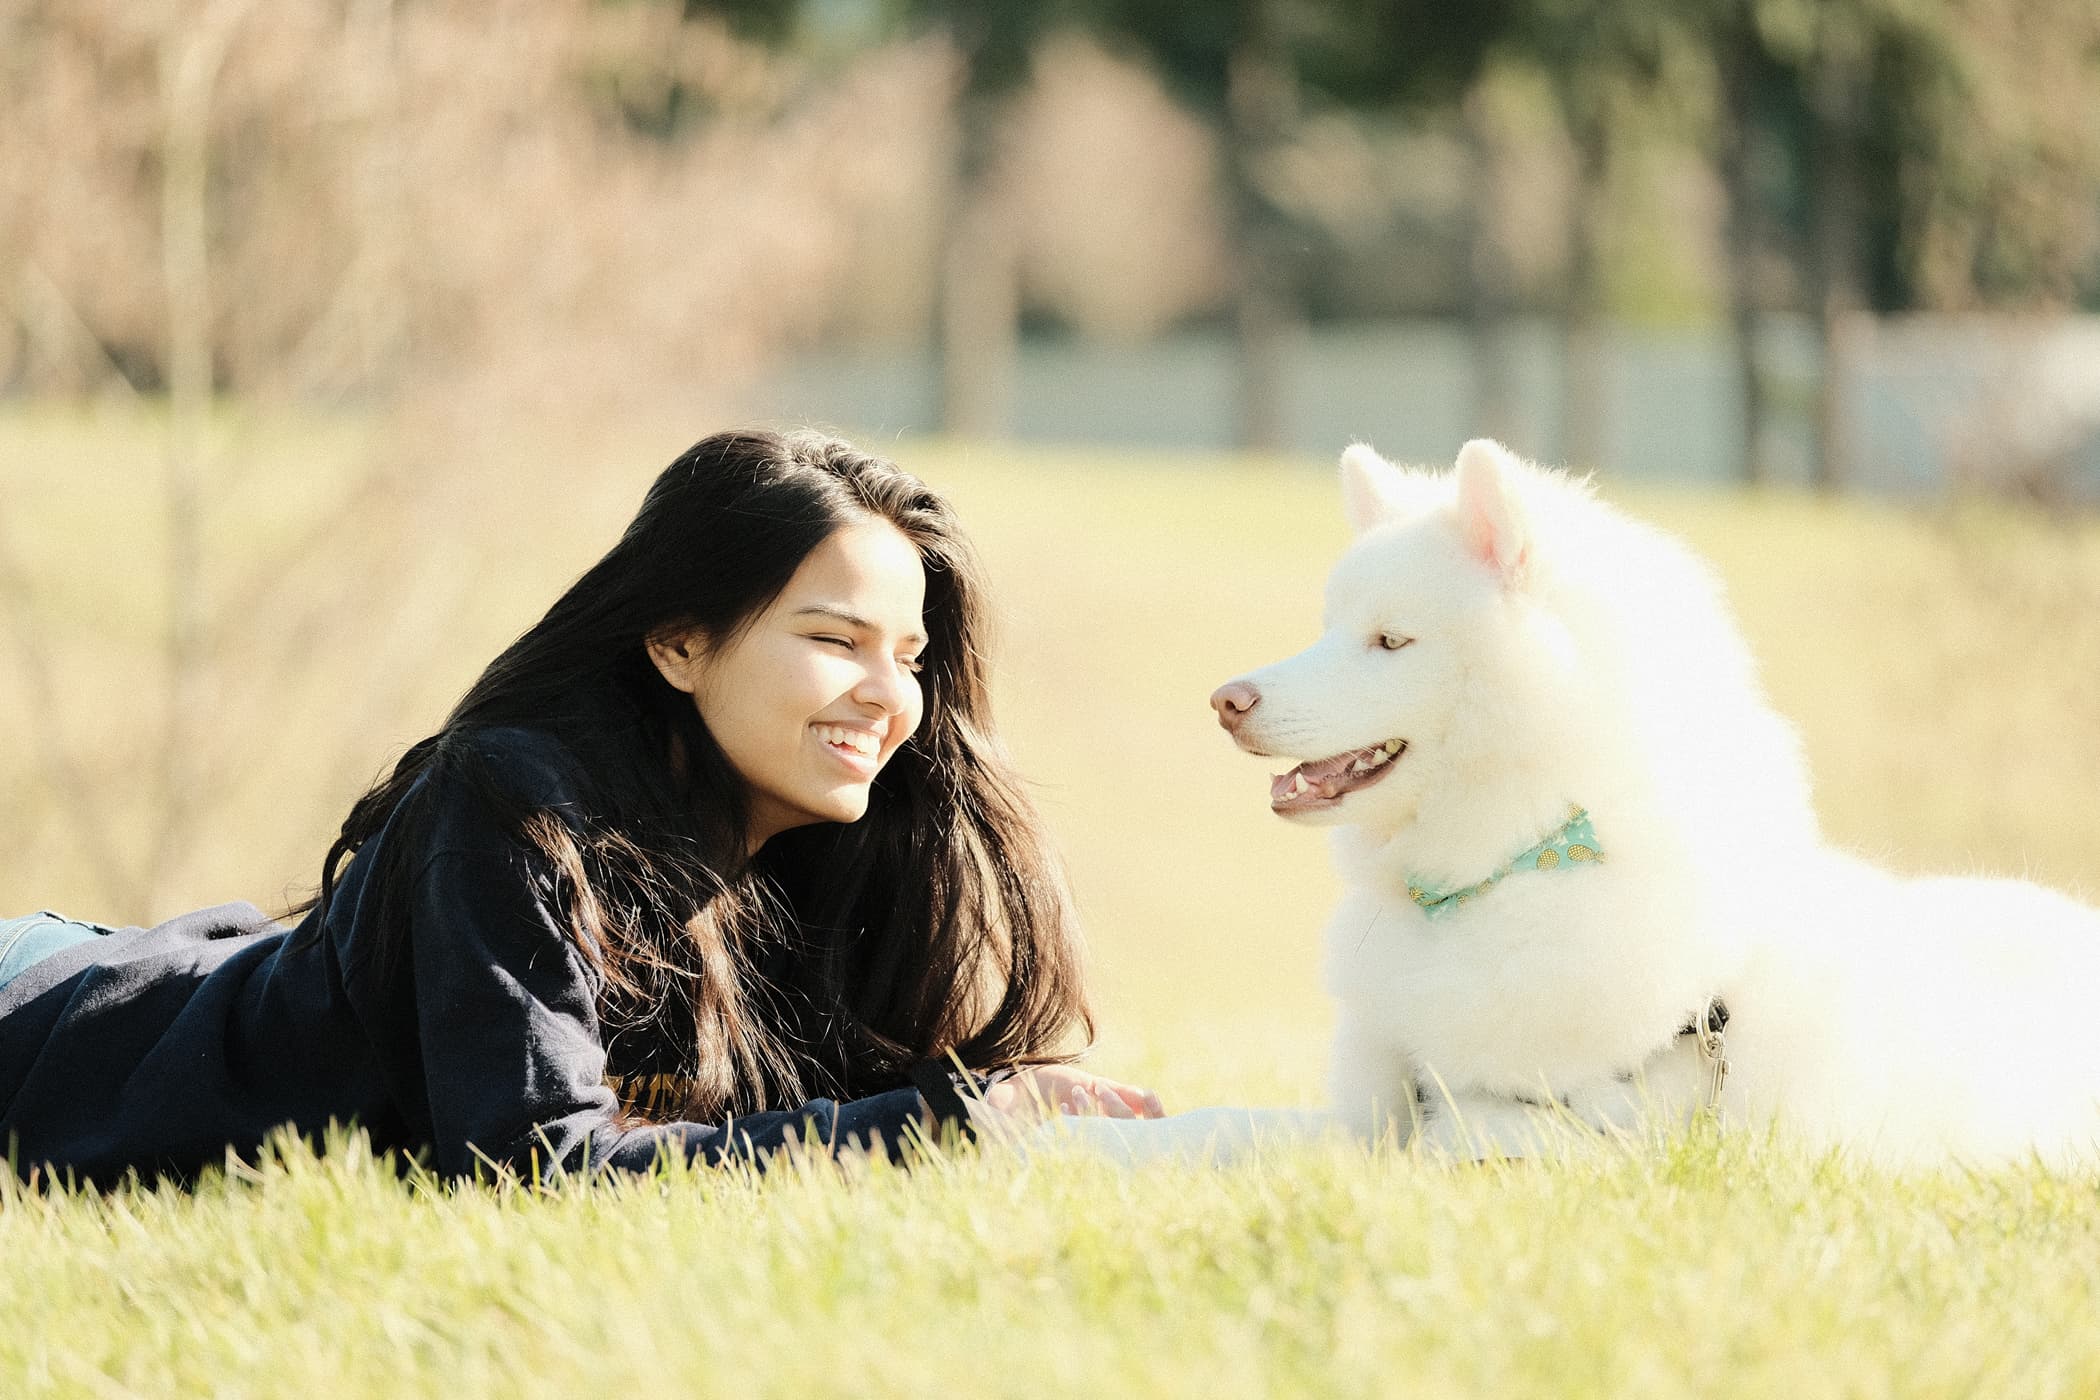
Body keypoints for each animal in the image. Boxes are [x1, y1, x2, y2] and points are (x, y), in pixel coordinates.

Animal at [1058, 442, 2100, 1167]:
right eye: (1326, 629)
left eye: (1391, 641)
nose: (1225, 700)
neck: (1528, 856)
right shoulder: (1381, 1106)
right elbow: (1227, 1121)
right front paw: (1072, 1138)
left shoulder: (1547, 1135)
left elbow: (1343, 1143)